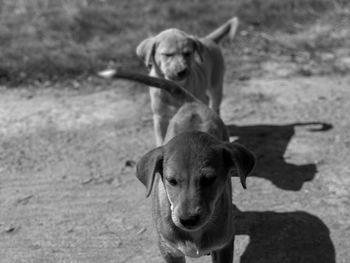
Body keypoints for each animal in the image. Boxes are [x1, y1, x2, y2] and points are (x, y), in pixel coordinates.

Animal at [100, 69, 256, 263]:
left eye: (209, 179)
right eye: (171, 181)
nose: (188, 220)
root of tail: (192, 103)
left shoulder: (224, 245)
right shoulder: (169, 250)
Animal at [135, 16, 239, 146]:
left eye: (187, 53)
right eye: (167, 54)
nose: (182, 71)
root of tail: (208, 39)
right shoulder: (159, 117)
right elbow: (160, 138)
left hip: (216, 84)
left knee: (215, 104)